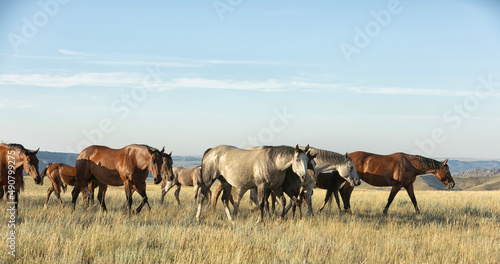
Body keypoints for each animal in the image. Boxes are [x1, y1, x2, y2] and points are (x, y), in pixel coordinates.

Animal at [322, 152, 456, 216]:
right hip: (351, 181)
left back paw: (346, 210)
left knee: (340, 192)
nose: (452, 184)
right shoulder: (397, 186)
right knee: (344, 192)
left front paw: (418, 213)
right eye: (447, 171)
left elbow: (414, 200)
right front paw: (384, 212)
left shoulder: (409, 186)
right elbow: (390, 199)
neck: (410, 164)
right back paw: (349, 211)